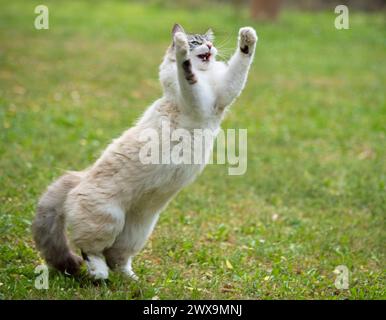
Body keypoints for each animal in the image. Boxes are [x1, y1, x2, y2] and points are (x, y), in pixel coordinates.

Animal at [32, 23, 256, 278]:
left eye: (209, 42)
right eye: (196, 42)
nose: (209, 46)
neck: (206, 77)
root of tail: (79, 177)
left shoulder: (221, 97)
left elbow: (241, 64)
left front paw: (248, 37)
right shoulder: (197, 102)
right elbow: (186, 71)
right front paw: (181, 48)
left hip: (137, 231)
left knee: (116, 256)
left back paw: (130, 279)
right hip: (108, 221)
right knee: (91, 250)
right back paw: (99, 274)